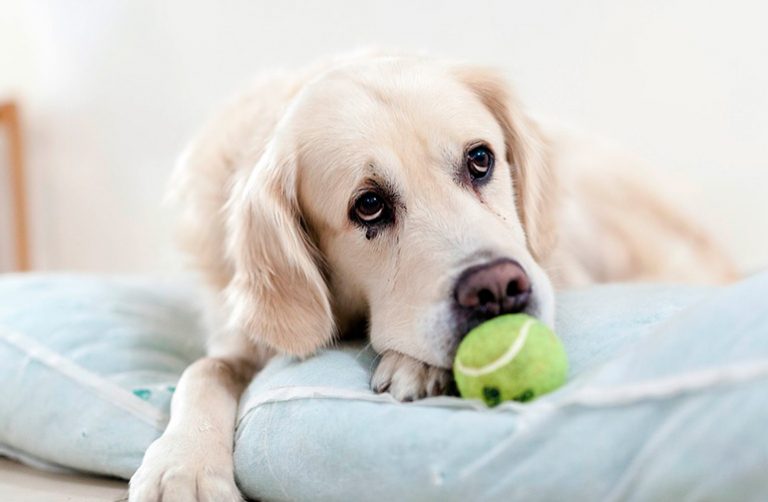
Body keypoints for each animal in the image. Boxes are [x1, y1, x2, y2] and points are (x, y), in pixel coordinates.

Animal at [127, 52, 736, 502]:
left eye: (481, 159)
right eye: (368, 205)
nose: (497, 288)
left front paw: (416, 364)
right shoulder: (239, 336)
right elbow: (203, 371)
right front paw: (182, 466)